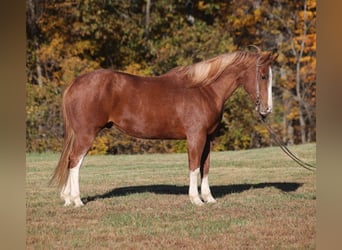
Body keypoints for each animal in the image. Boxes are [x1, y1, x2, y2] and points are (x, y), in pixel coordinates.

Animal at [50, 48, 276, 207]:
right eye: (263, 76)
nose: (267, 109)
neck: (204, 90)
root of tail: (75, 83)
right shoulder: (196, 137)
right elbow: (194, 166)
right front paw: (196, 199)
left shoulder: (208, 138)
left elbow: (206, 167)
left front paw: (209, 198)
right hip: (86, 134)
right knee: (75, 162)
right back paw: (77, 200)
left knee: (71, 160)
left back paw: (68, 199)